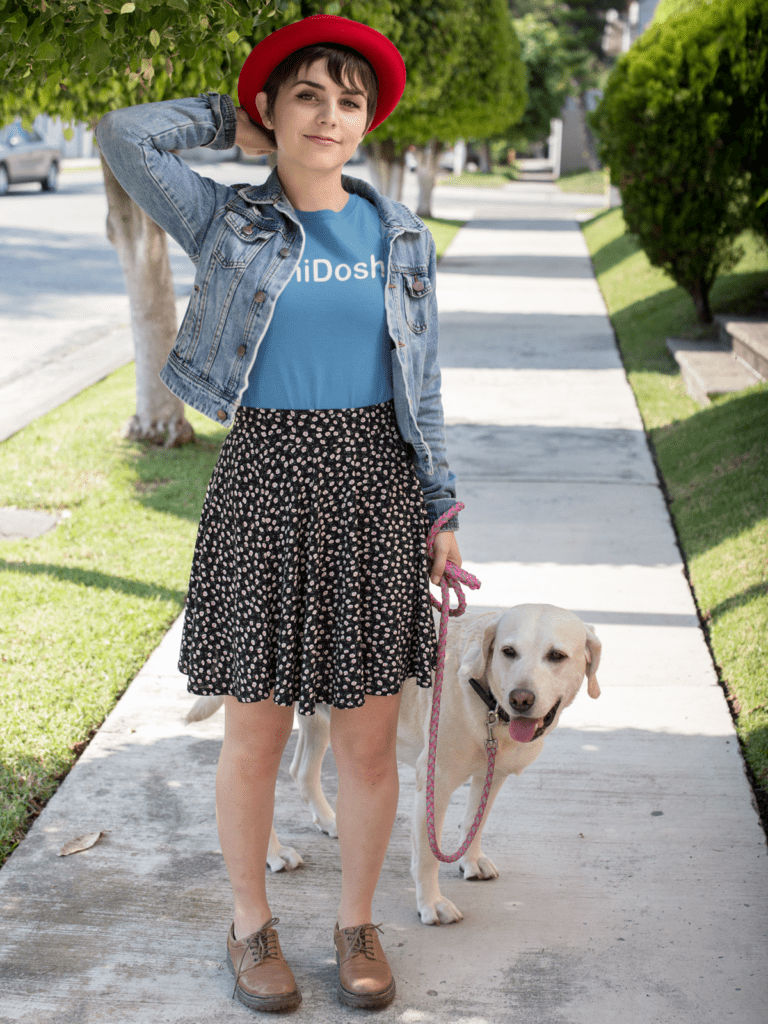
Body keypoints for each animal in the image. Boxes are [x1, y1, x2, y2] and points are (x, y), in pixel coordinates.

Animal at [186, 603, 601, 925]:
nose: (521, 699)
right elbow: (429, 857)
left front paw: (470, 860)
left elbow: (476, 820)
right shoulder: (433, 781)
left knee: (300, 771)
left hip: (323, 716)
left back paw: (331, 821)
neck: (485, 700)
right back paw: (273, 854)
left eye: (556, 656)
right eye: (508, 651)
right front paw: (431, 905)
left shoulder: (492, 774)